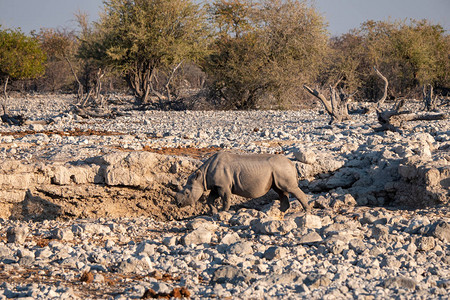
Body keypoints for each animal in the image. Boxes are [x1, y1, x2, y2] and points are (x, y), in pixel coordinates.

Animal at [178, 152, 312, 213]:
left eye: (186, 193)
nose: (179, 204)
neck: (202, 176)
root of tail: (292, 164)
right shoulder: (216, 186)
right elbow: (210, 200)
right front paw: (214, 212)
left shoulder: (223, 186)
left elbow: (225, 199)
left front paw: (223, 211)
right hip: (279, 170)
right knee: (280, 191)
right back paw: (279, 212)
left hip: (282, 168)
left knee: (290, 188)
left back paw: (306, 211)